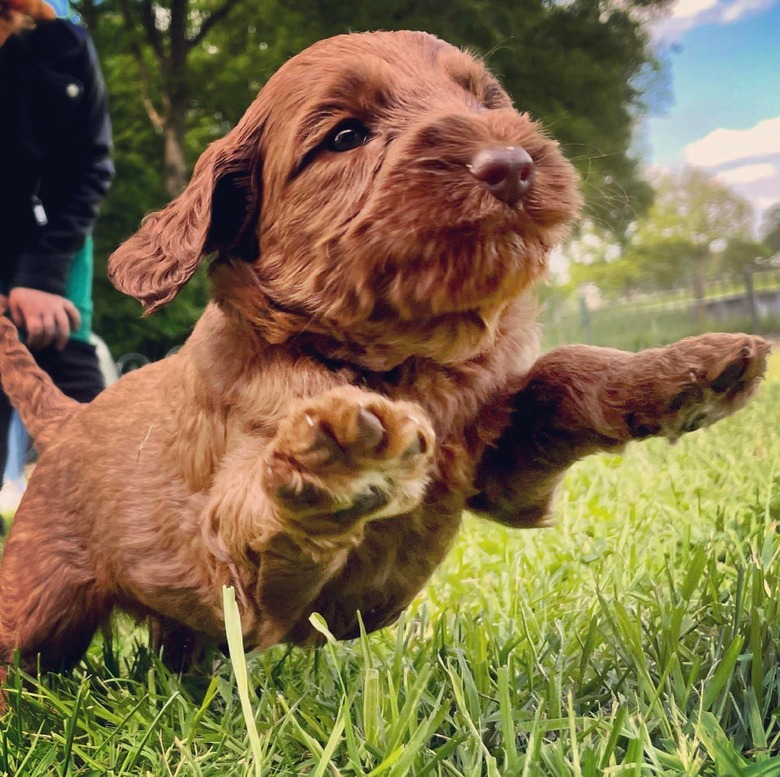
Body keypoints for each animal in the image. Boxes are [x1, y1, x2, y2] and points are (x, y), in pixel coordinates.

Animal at [0, 31, 768, 684]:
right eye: (344, 137)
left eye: (485, 100)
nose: (513, 165)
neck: (405, 361)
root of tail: (67, 421)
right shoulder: (240, 572)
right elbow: (259, 503)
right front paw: (341, 456)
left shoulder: (506, 474)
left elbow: (560, 371)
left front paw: (688, 371)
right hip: (37, 603)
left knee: (176, 651)